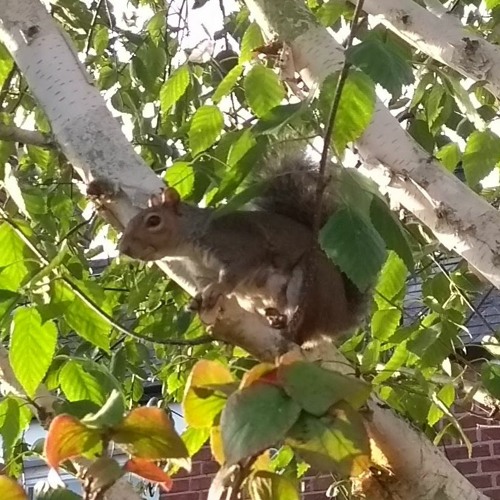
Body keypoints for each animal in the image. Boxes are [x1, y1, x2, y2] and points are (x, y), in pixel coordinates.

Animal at [119, 151, 370, 344]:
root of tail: (340, 318)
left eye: (154, 221)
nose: (123, 248)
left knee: (302, 334)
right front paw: (198, 300)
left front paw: (218, 289)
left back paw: (287, 328)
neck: (191, 248)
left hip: (310, 283)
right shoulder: (202, 273)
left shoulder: (241, 246)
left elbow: (234, 274)